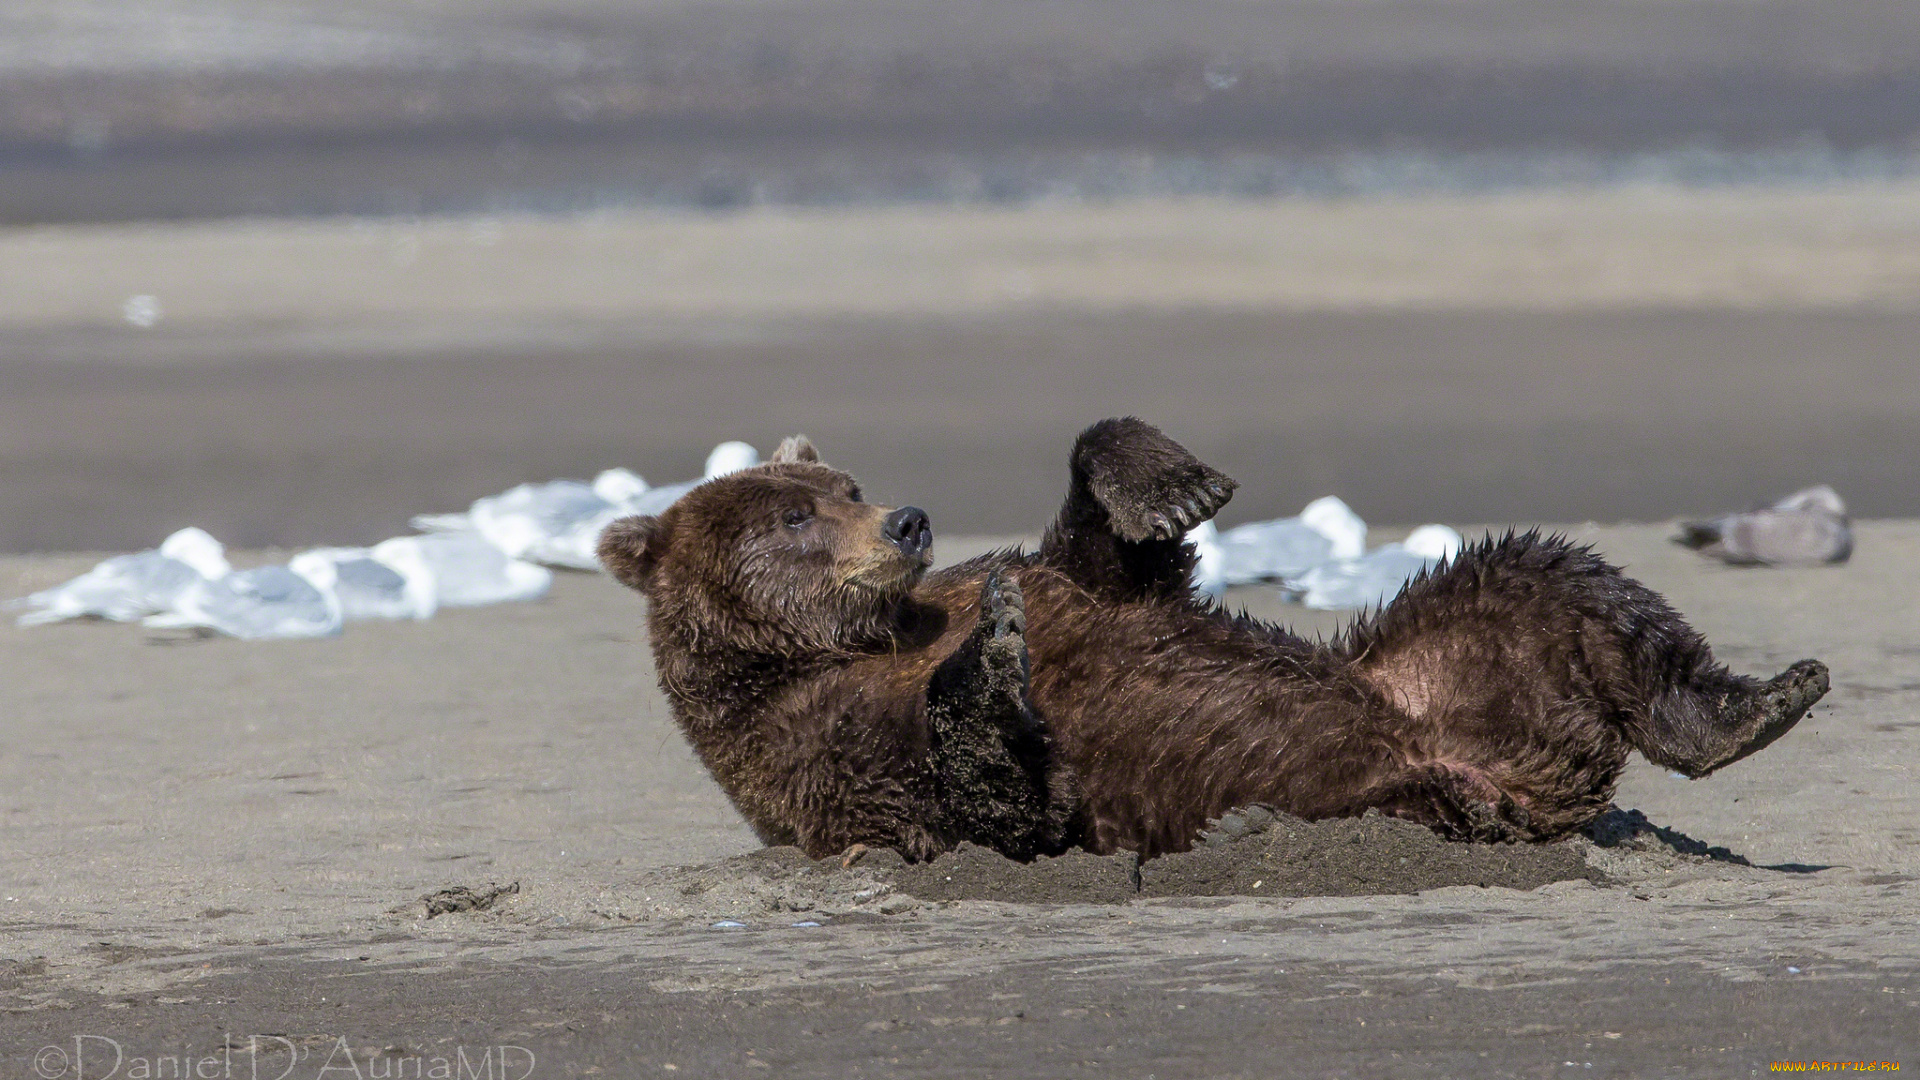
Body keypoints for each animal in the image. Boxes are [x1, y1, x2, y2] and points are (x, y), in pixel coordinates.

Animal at [602, 413, 1827, 857]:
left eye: (843, 482)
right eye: (792, 516)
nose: (904, 517)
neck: (853, 640)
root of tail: (1518, 766)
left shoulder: (1061, 583)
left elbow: (1113, 557)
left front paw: (1171, 487)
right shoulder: (816, 752)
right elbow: (987, 803)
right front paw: (989, 655)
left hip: (1436, 659)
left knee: (1548, 574)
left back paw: (1759, 702)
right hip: (1413, 768)